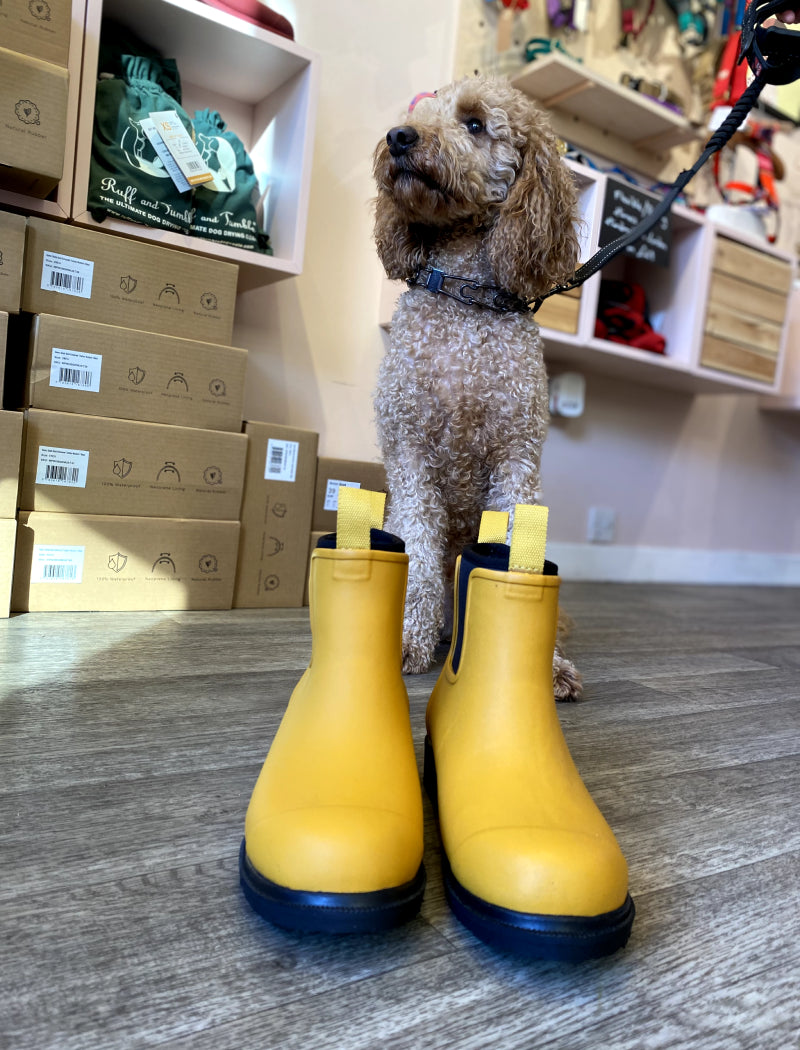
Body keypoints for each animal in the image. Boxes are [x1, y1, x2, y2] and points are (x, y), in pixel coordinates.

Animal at [371, 74, 583, 697]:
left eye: (474, 123)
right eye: (423, 113)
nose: (399, 136)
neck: (465, 297)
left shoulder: (516, 462)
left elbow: (516, 558)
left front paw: (543, 666)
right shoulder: (411, 459)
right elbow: (418, 558)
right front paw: (408, 642)